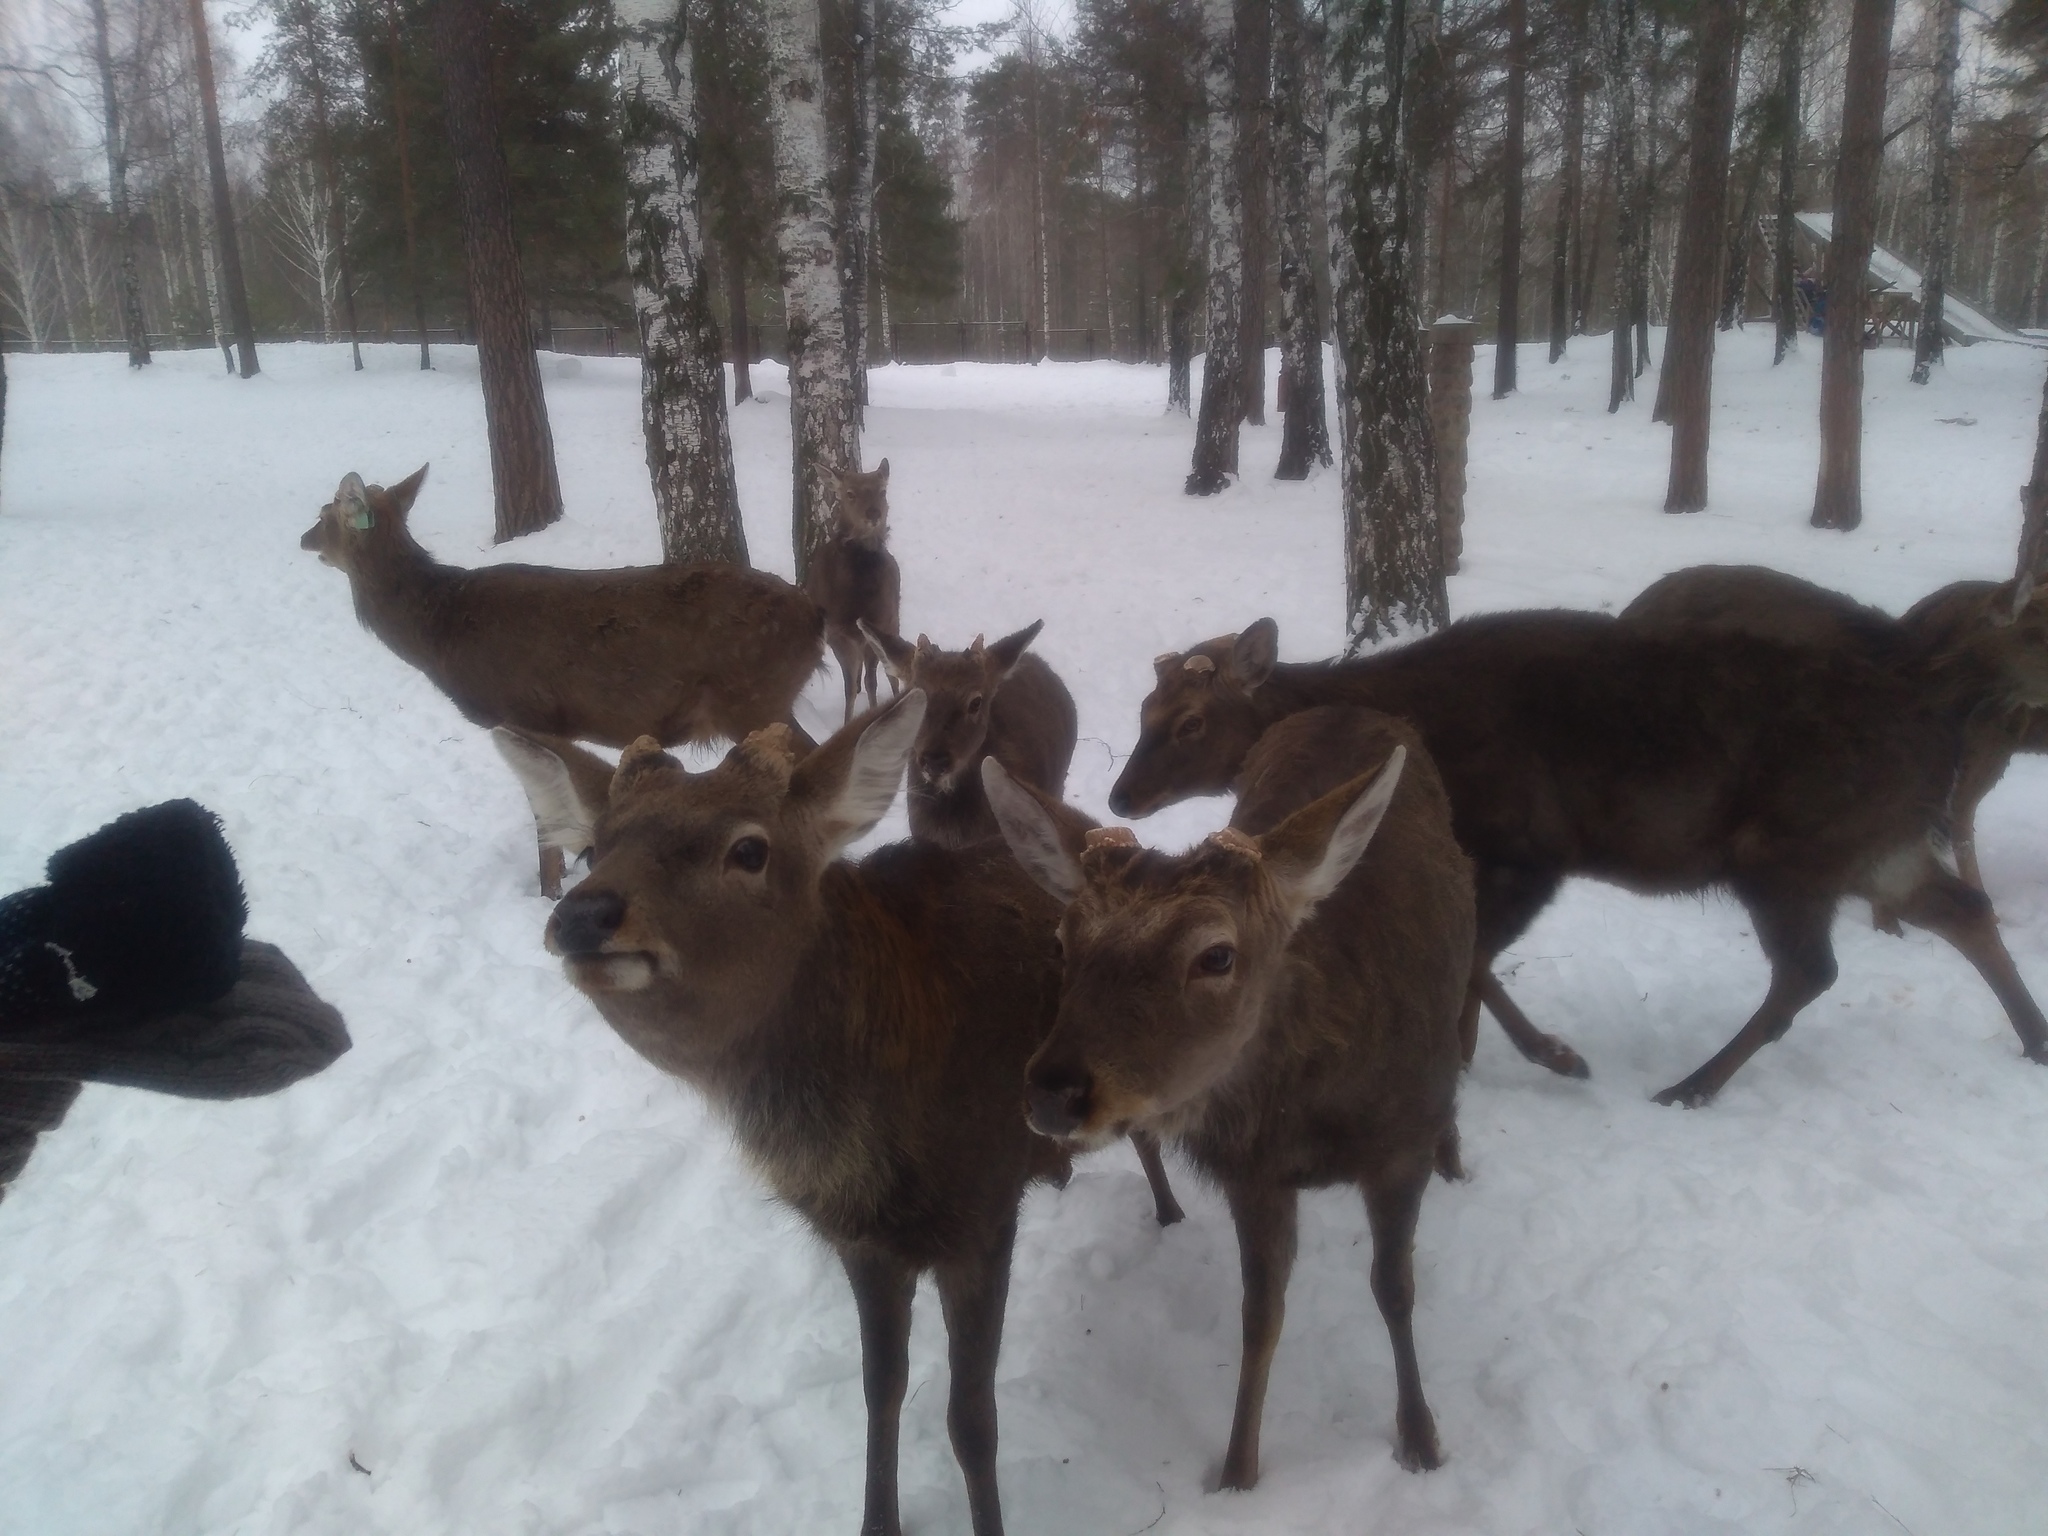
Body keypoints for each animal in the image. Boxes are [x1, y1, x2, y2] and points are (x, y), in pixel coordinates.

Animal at [299, 468, 823, 901]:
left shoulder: (522, 711)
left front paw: (549, 890)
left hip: (755, 697)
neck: (441, 637)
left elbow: (540, 806)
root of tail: (815, 617)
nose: (303, 538)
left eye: (326, 512)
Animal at [491, 700, 1073, 1536]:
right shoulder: (863, 1244)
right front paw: (877, 1522)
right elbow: (881, 1390)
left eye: (749, 848)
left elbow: (972, 1419)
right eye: (595, 847)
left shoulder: (986, 1212)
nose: (583, 912)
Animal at [802, 460, 901, 724]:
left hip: (893, 619)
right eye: (849, 494)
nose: (874, 514)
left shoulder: (876, 625)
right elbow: (850, 687)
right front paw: (847, 723)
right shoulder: (836, 632)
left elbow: (872, 681)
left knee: (890, 672)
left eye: (882, 491)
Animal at [1114, 614, 2048, 1105]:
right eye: (1144, 712)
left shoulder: (1531, 844)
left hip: (1790, 849)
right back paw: (2036, 1039)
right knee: (1963, 911)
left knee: (1810, 971)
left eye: (1190, 722)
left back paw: (1690, 1085)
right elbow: (1473, 965)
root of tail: (1933, 715)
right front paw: (1470, 1053)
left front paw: (1550, 1055)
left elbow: (1477, 961)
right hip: (1873, 844)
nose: (1122, 796)